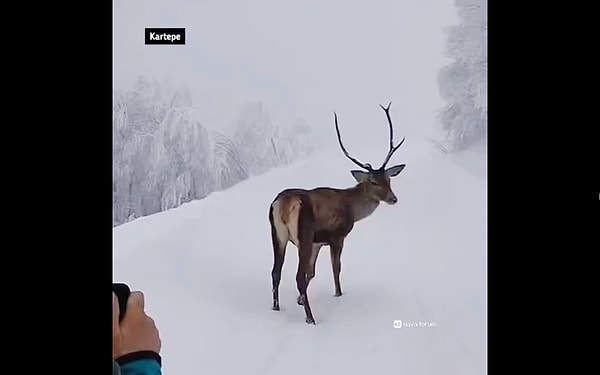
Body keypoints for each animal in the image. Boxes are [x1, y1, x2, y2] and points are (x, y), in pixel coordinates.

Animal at [268, 101, 406, 324]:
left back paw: (276, 307)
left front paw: (299, 300)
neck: (353, 210)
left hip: (277, 234)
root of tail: (284, 204)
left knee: (275, 272)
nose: (393, 199)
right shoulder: (336, 236)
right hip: (303, 234)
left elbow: (312, 273)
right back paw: (310, 318)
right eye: (373, 182)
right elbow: (335, 269)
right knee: (297, 276)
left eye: (388, 179)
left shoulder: (318, 243)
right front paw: (338, 294)